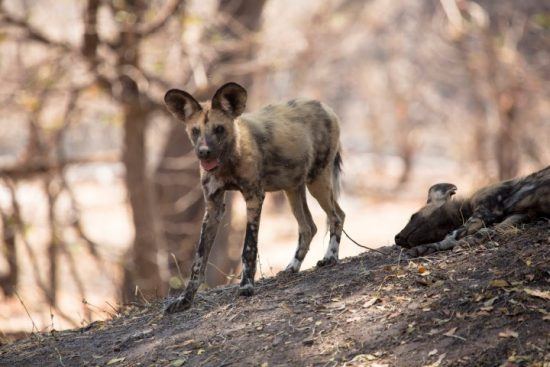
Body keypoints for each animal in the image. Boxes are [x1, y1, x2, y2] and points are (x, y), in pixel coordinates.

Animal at [162, 82, 348, 312]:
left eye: (219, 129)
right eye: (195, 131)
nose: (203, 152)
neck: (227, 163)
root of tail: (324, 106)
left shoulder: (254, 198)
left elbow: (248, 247)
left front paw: (246, 286)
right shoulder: (213, 208)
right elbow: (198, 260)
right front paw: (185, 299)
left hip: (316, 182)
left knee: (336, 216)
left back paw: (330, 257)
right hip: (292, 189)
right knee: (309, 227)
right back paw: (292, 267)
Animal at [398, 165, 548, 258]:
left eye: (413, 216)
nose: (396, 238)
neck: (465, 208)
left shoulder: (483, 212)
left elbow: (452, 236)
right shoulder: (519, 215)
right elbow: (491, 230)